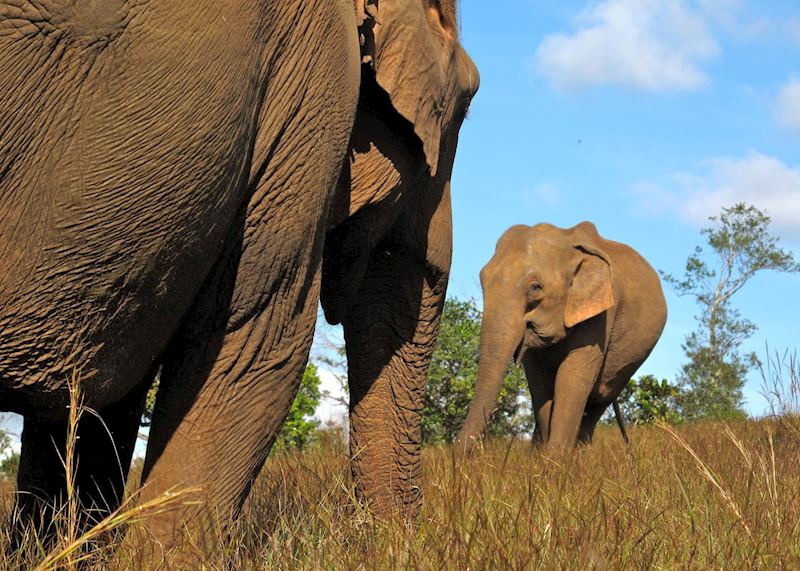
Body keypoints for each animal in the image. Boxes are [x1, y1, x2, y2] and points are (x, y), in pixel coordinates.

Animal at [457, 222, 666, 453]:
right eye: (482, 280)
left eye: (536, 287)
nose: (463, 452)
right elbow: (539, 381)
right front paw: (541, 456)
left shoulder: (601, 313)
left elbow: (573, 374)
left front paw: (554, 459)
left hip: (626, 364)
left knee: (599, 399)